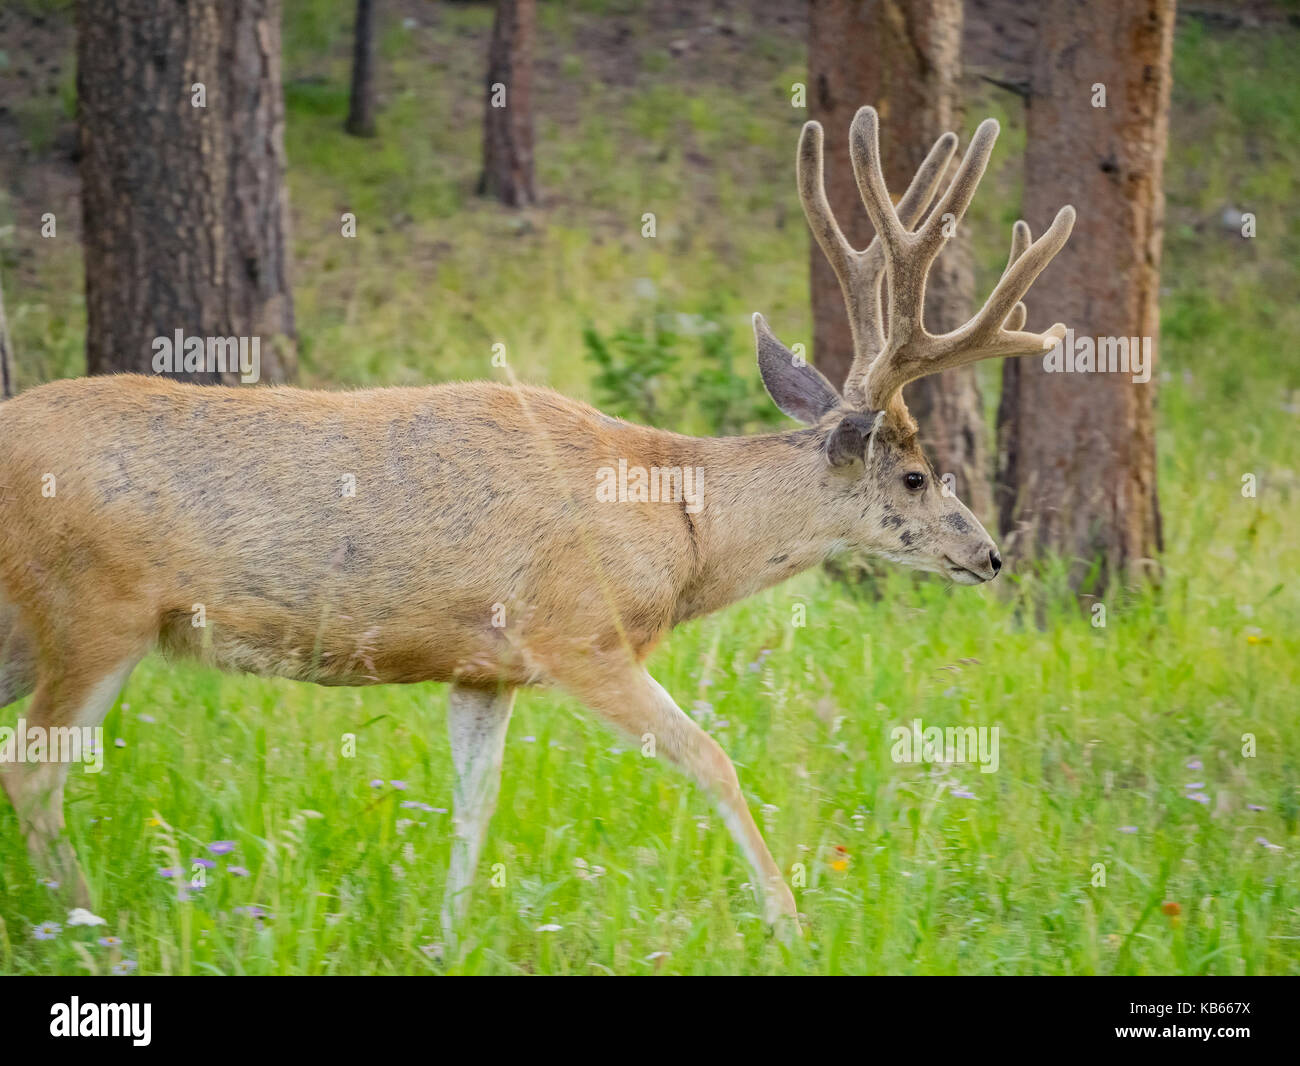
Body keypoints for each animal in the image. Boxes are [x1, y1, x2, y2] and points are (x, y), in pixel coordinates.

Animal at [0, 106, 1072, 946]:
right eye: (917, 475)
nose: (989, 554)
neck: (677, 520)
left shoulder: (483, 668)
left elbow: (473, 809)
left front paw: (445, 939)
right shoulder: (577, 633)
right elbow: (713, 758)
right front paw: (789, 921)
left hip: (32, 627)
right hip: (94, 612)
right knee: (31, 773)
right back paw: (93, 930)